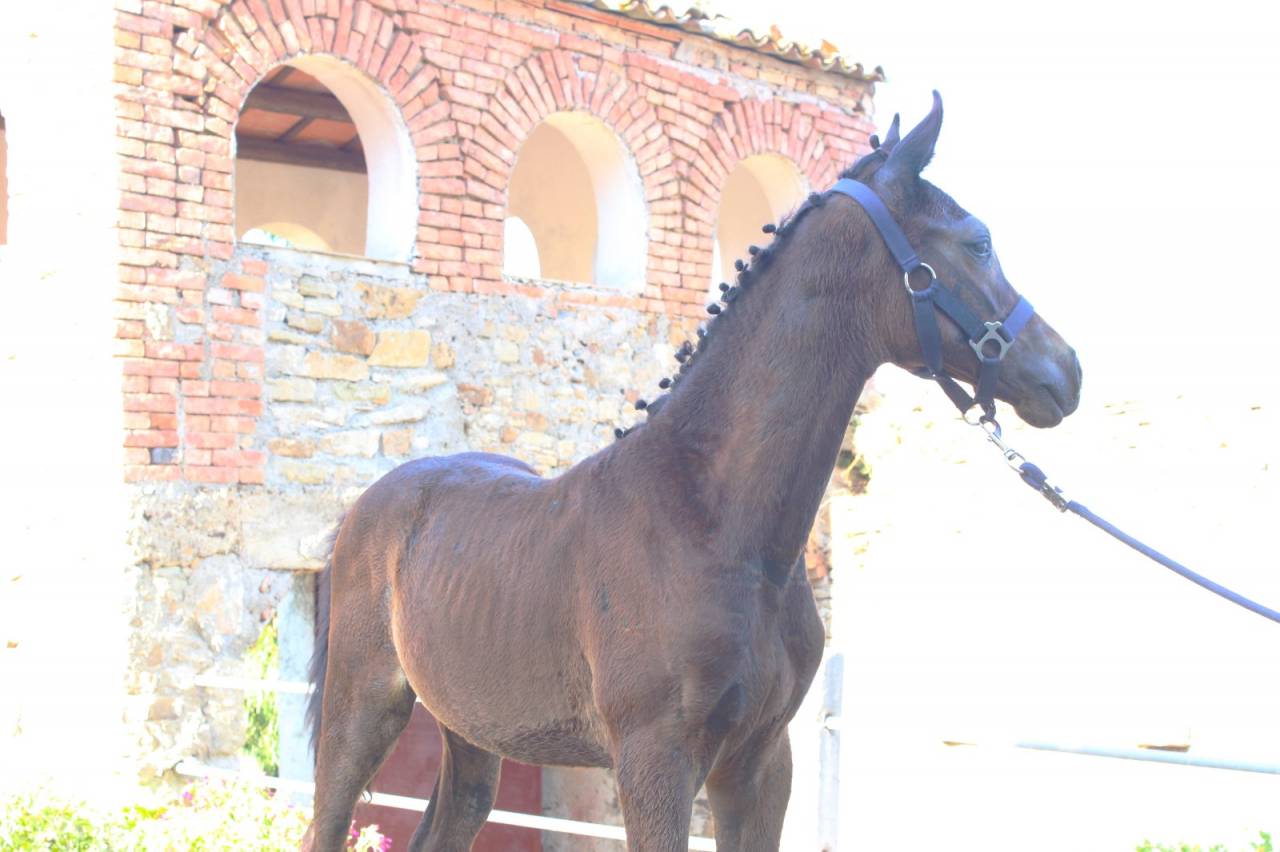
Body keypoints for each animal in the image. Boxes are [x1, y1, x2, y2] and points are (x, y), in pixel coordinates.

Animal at [302, 93, 1082, 852]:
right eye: (978, 241)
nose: (1067, 371)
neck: (717, 523)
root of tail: (363, 509)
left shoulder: (761, 761)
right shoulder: (656, 760)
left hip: (471, 731)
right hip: (361, 709)